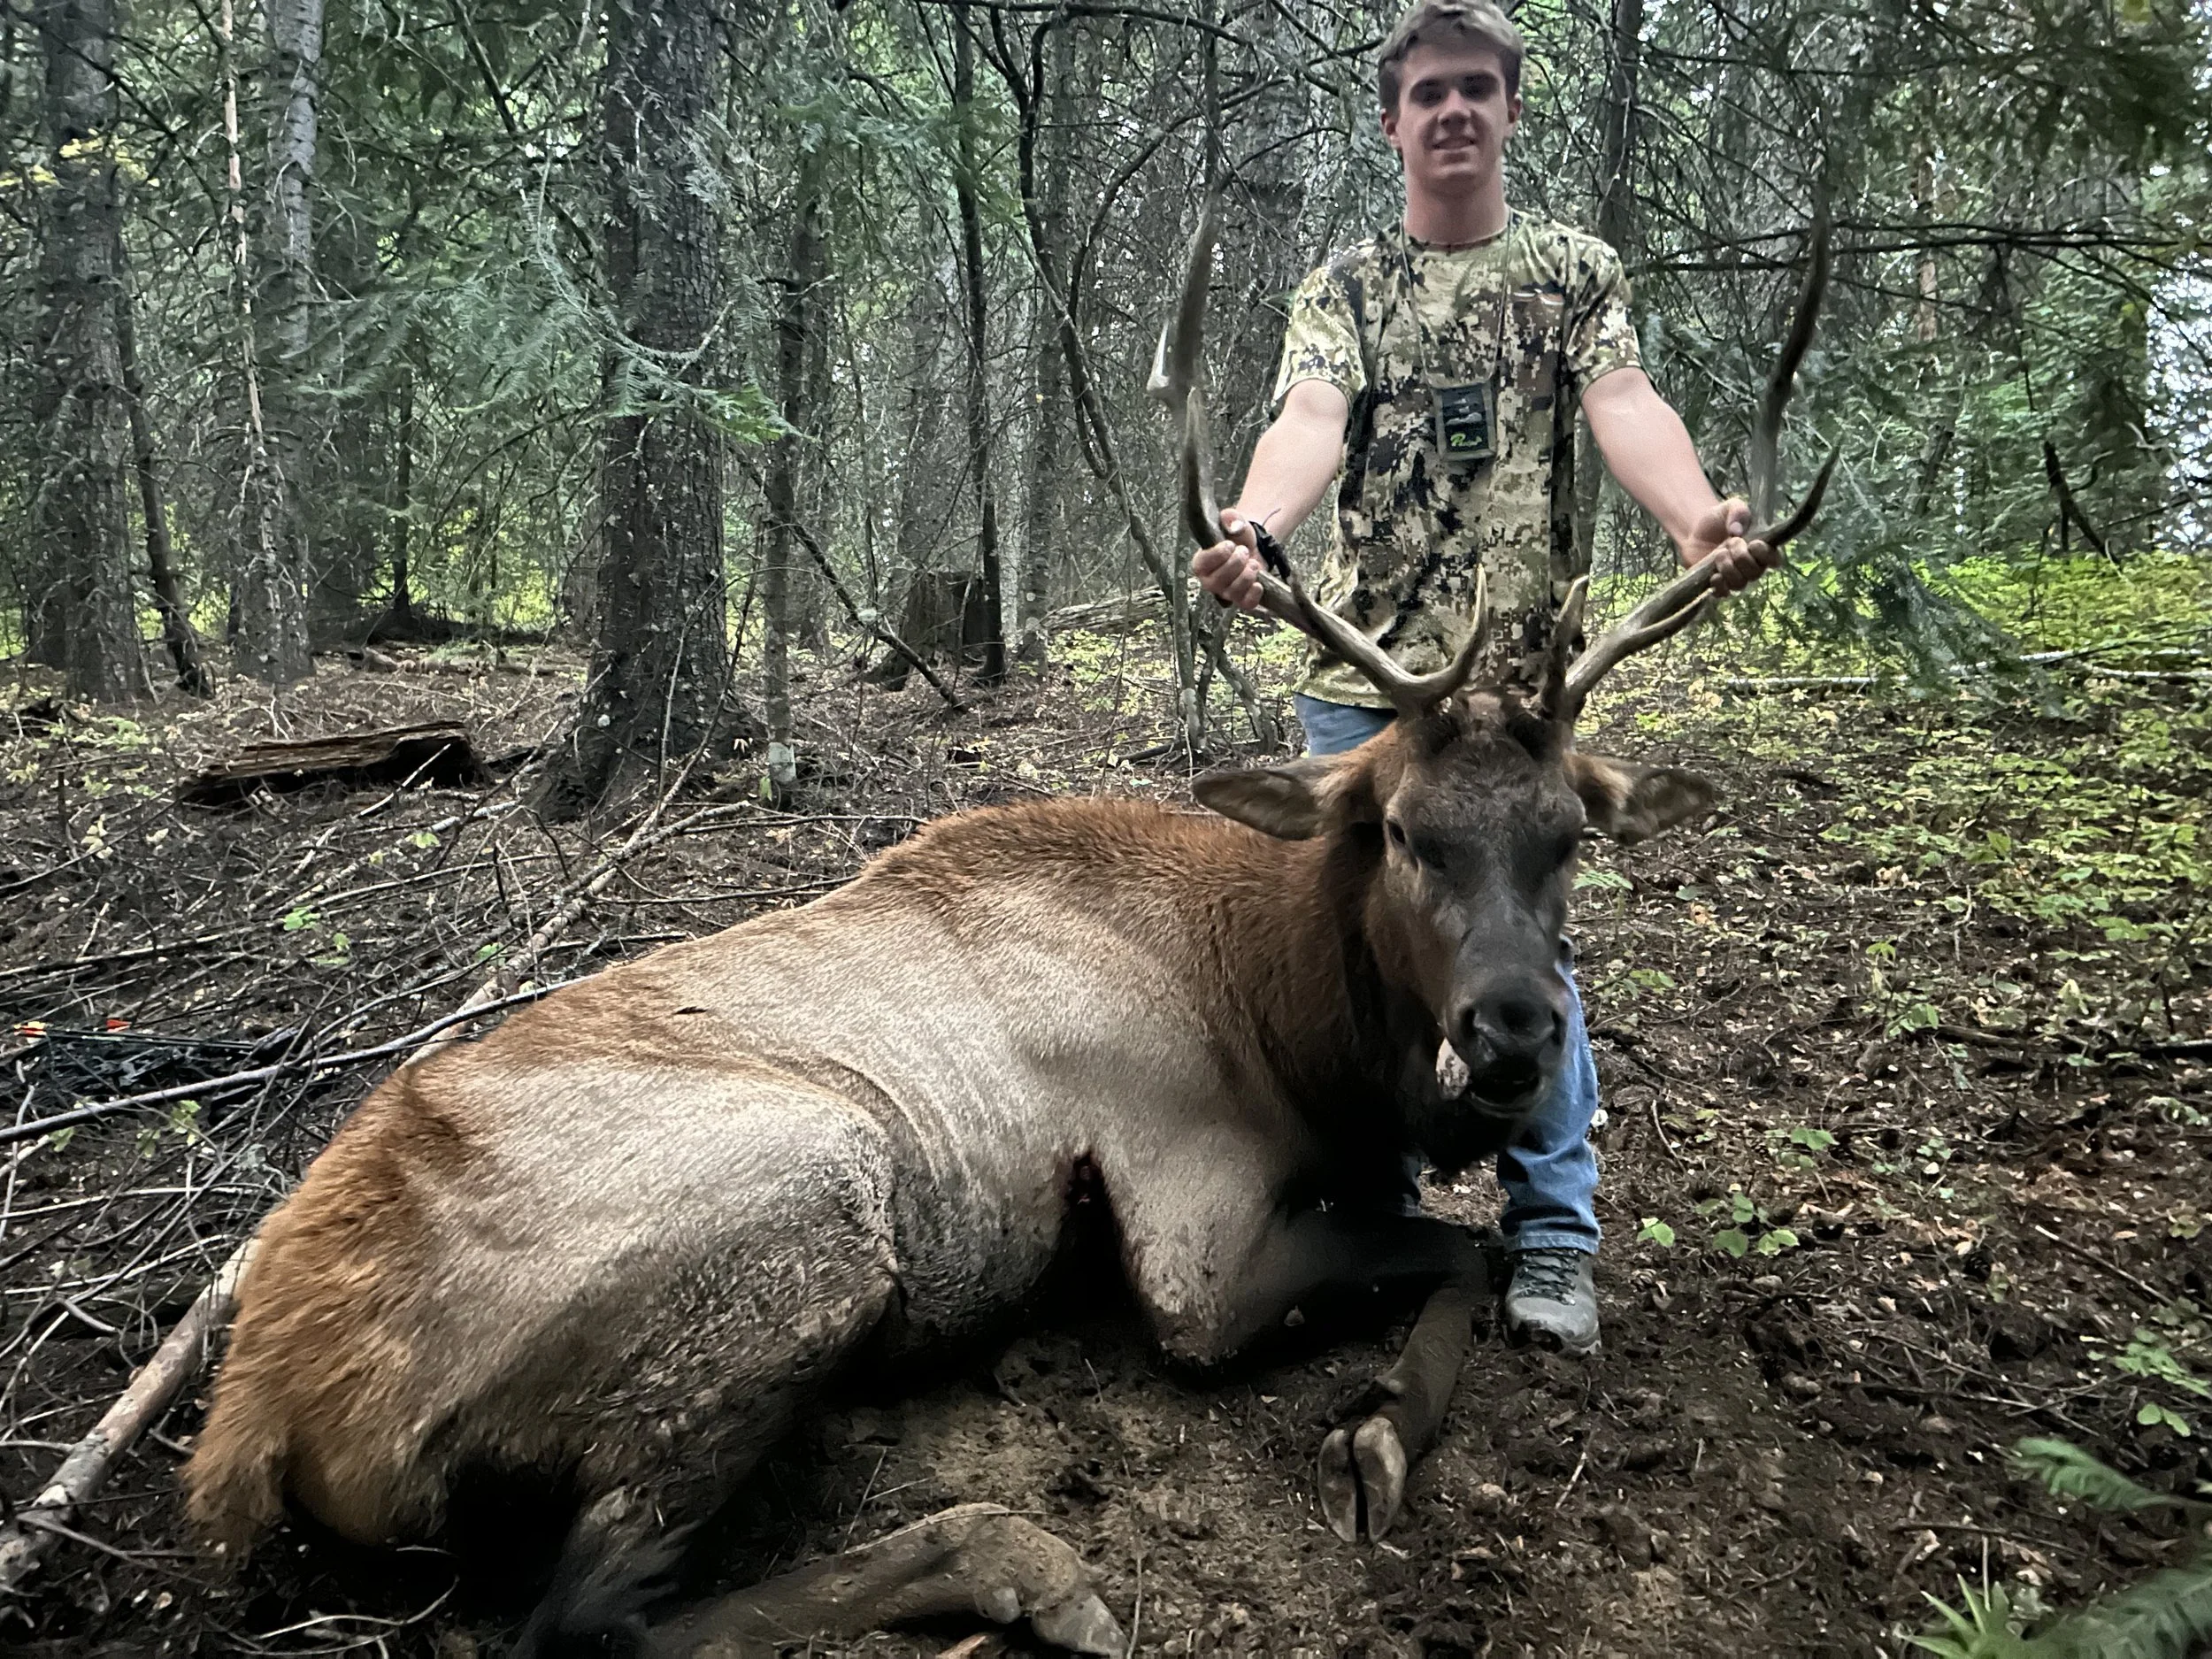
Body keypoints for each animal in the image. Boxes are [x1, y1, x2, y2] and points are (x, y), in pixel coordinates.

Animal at [181, 213, 1830, 1659]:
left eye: (1570, 838)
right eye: (1407, 830)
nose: (1511, 1032)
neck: (1290, 1021)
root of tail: (260, 1412)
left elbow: (1464, 1251)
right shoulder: (1187, 1240)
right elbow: (1456, 1258)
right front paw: (1371, 1440)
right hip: (812, 1203)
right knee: (586, 1619)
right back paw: (1026, 1563)